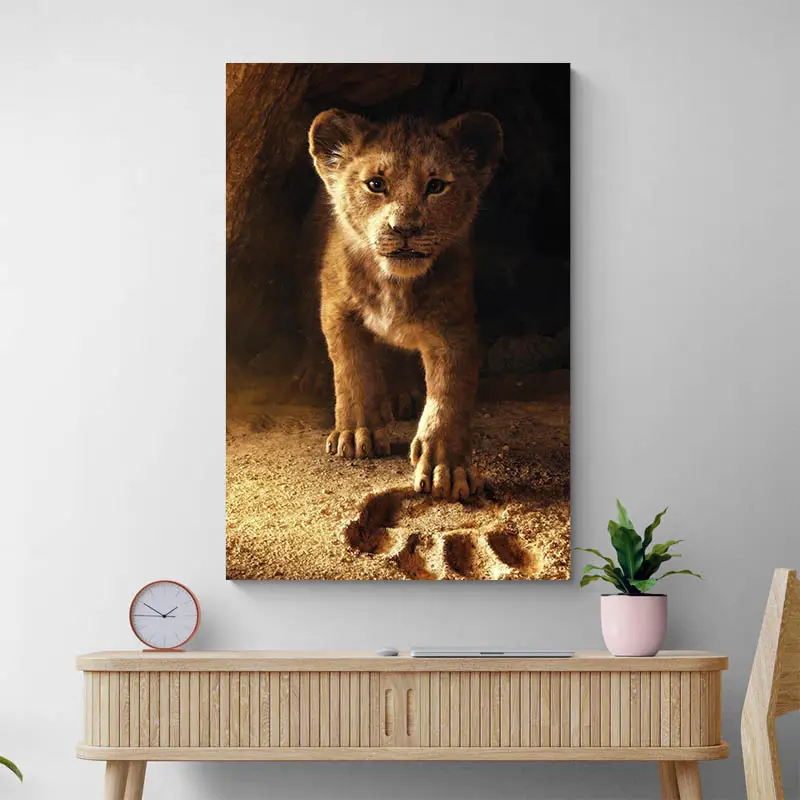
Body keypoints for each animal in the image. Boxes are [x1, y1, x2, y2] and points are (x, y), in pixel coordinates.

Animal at [308, 109, 503, 500]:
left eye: (436, 186)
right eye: (375, 184)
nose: (405, 229)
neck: (395, 283)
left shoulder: (454, 327)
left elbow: (449, 394)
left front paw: (447, 467)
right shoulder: (337, 308)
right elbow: (352, 369)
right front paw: (357, 432)